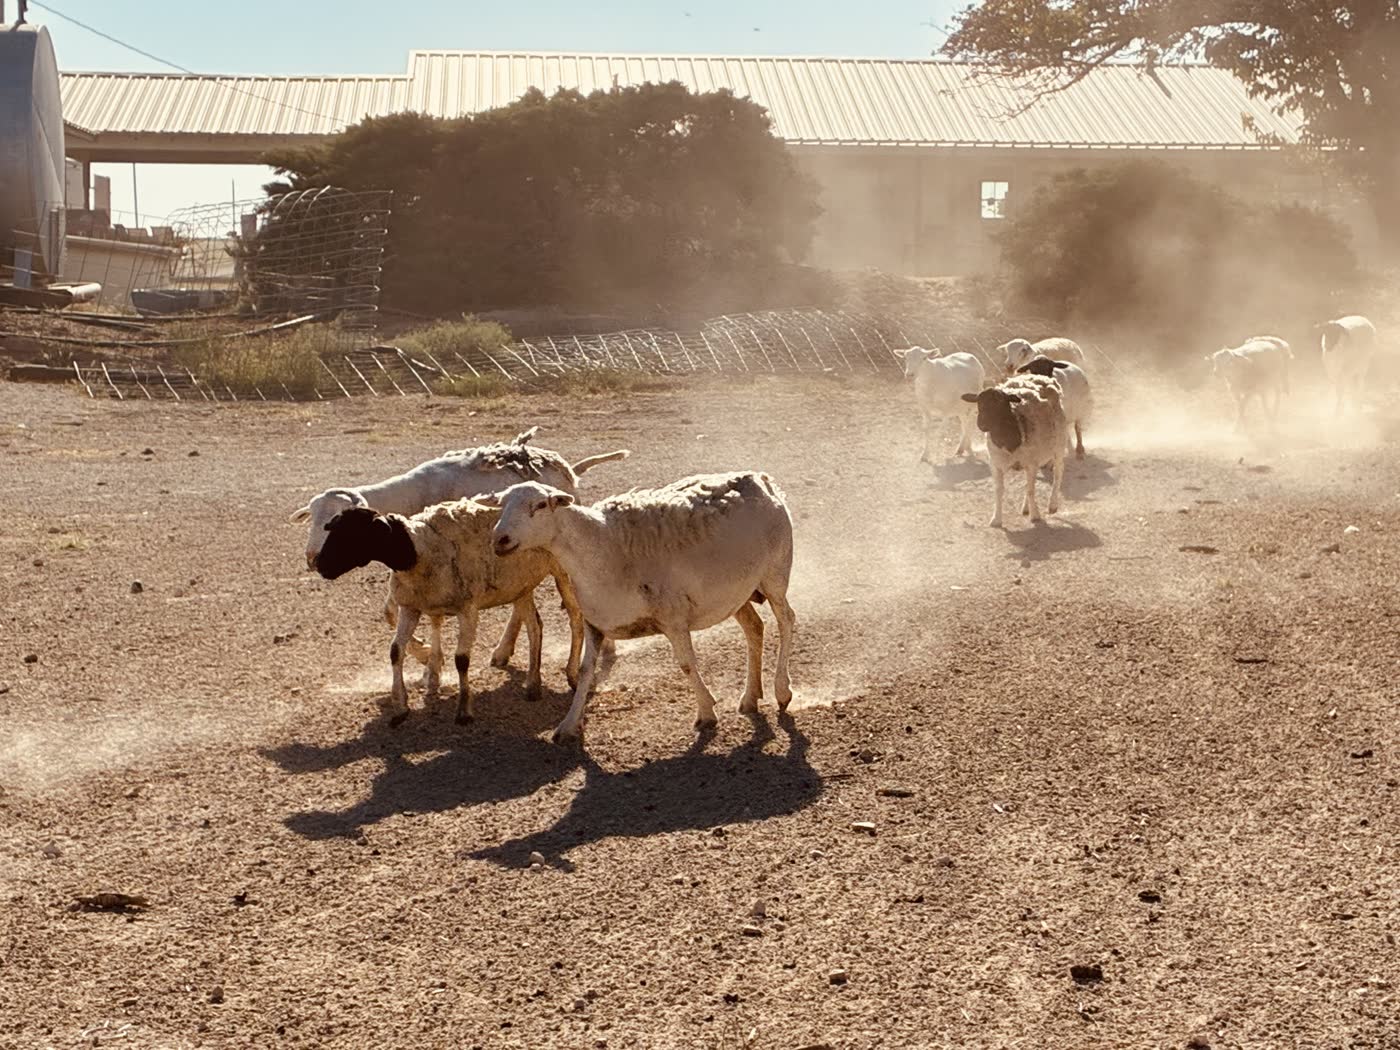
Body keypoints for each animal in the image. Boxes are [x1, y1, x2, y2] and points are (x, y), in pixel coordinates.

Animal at [291, 426, 628, 690]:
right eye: (313, 519)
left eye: (335, 523)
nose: (313, 559)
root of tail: (566, 467)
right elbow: (399, 614)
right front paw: (430, 662)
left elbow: (407, 615)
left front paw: (429, 659)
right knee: (522, 602)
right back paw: (505, 650)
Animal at [314, 499, 575, 725]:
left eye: (351, 533)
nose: (320, 565)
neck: (418, 550)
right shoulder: (410, 607)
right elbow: (396, 651)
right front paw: (401, 707)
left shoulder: (467, 609)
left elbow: (461, 660)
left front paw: (464, 710)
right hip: (520, 585)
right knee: (535, 626)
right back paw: (533, 684)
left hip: (563, 574)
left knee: (575, 618)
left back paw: (571, 673)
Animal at [478, 472, 797, 743]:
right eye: (502, 505)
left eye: (541, 504)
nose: (499, 539)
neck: (600, 547)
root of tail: (760, 479)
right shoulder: (596, 622)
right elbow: (585, 671)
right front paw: (568, 726)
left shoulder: (673, 618)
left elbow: (687, 664)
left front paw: (706, 713)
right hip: (738, 592)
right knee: (755, 628)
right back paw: (750, 697)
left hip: (775, 574)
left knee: (786, 619)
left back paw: (782, 691)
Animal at [960, 374, 1067, 528]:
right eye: (978, 402)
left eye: (999, 402)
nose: (982, 423)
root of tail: (1041, 377)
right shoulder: (996, 465)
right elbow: (1000, 491)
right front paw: (996, 519)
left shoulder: (1031, 464)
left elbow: (1031, 490)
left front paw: (1035, 516)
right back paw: (1026, 508)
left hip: (1059, 446)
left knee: (1058, 473)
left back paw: (1052, 505)